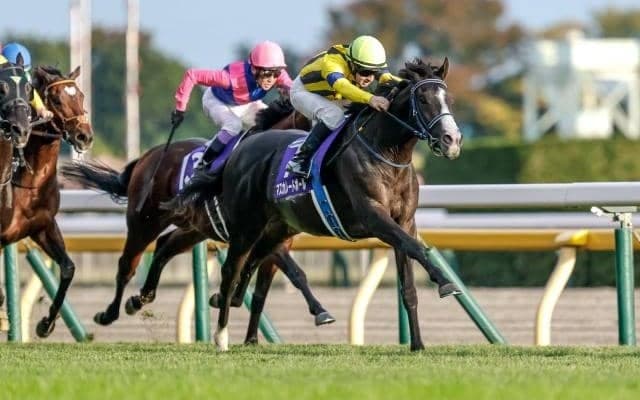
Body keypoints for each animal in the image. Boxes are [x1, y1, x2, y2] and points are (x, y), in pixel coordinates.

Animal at [0, 65, 93, 338]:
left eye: (81, 96)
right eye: (57, 100)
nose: (84, 136)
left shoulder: (43, 226)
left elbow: (68, 267)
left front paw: (46, 324)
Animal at [61, 98, 333, 345]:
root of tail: (148, 155)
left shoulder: (279, 239)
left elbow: (263, 292)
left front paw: (251, 339)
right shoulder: (257, 234)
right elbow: (294, 273)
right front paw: (320, 311)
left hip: (194, 228)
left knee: (164, 247)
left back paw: (141, 297)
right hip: (144, 221)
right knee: (127, 264)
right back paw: (109, 313)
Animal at [173, 57, 464, 351]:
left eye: (448, 99)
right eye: (423, 99)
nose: (452, 140)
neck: (387, 153)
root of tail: (240, 149)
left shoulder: (404, 221)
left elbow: (409, 283)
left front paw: (418, 344)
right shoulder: (373, 216)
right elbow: (415, 247)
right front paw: (446, 283)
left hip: (277, 228)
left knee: (254, 259)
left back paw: (229, 304)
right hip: (246, 225)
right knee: (231, 269)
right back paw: (221, 335)